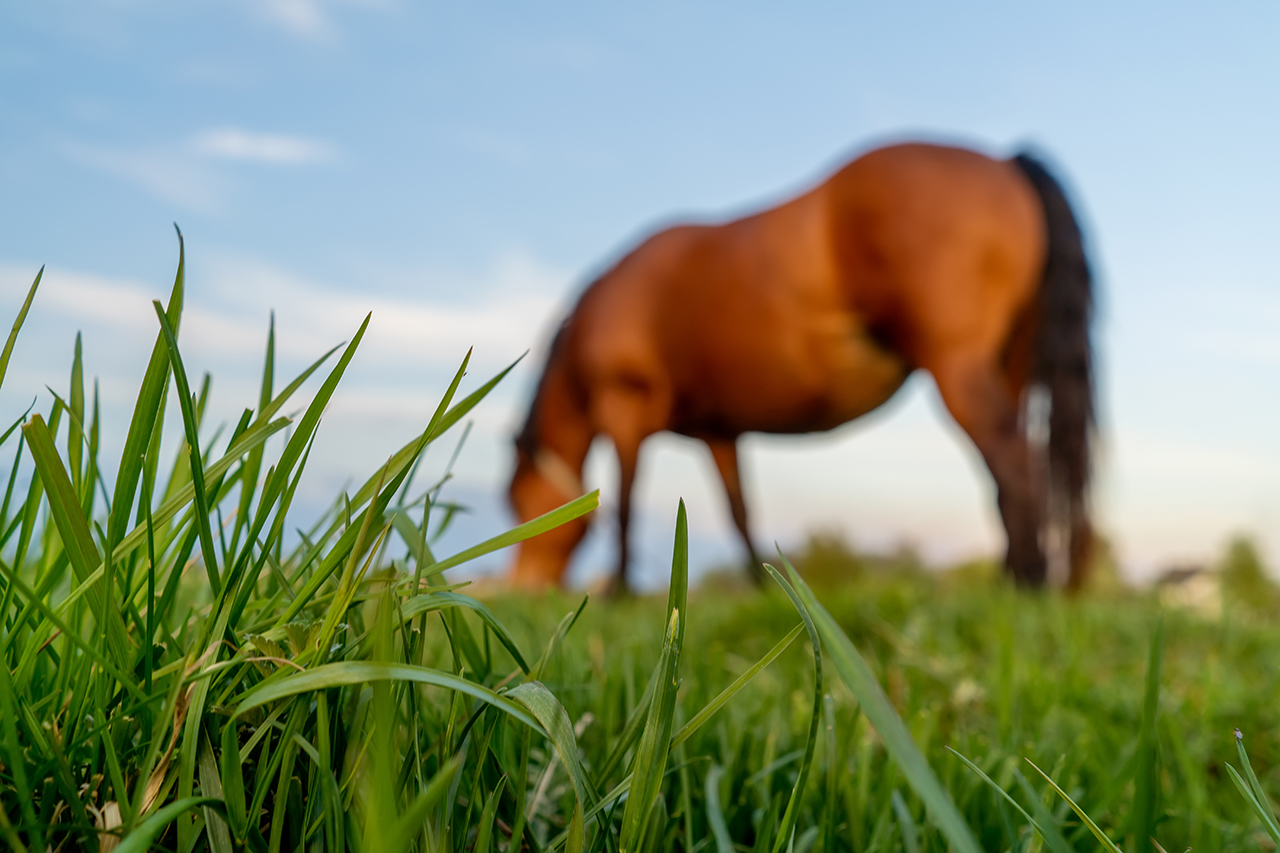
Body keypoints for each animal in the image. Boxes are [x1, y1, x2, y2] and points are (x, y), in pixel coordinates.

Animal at [504, 140, 1095, 591]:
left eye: (517, 507)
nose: (524, 587)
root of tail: (1005, 161)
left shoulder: (625, 408)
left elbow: (626, 503)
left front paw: (620, 592)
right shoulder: (719, 431)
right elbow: (739, 511)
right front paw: (761, 588)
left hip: (959, 369)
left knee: (1013, 465)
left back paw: (1025, 585)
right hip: (1012, 368)